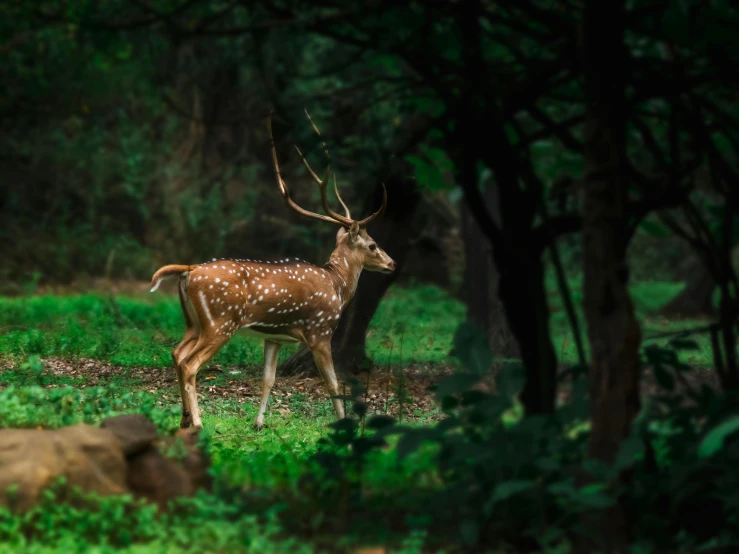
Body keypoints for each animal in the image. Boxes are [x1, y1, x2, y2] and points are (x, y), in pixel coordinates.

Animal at [147, 112, 396, 430]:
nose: (392, 263)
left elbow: (268, 379)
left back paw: (184, 420)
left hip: (194, 322)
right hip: (221, 321)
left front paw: (258, 422)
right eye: (373, 245)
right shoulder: (320, 331)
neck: (337, 286)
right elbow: (332, 383)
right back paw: (199, 424)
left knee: (176, 353)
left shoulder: (274, 337)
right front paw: (343, 422)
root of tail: (188, 270)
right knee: (190, 363)